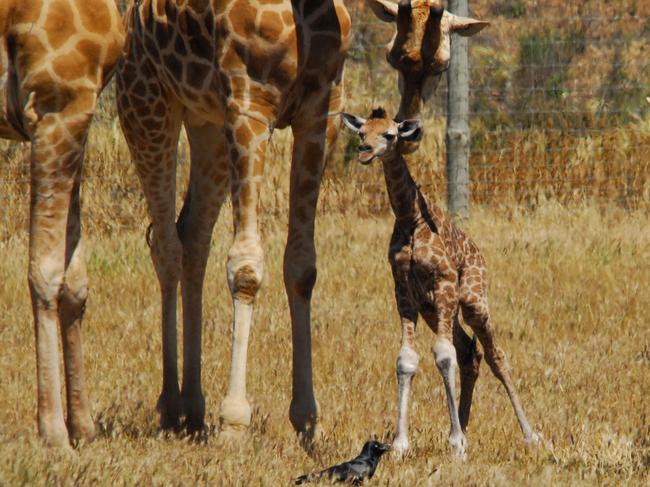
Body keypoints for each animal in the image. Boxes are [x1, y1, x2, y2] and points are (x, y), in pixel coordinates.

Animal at [0, 0, 123, 448]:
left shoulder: (79, 109)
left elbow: (76, 281)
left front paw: (83, 427)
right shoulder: (58, 105)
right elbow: (46, 271)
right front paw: (53, 431)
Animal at [116, 0, 350, 442]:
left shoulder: (320, 112)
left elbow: (302, 267)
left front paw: (307, 419)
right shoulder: (249, 106)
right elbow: (245, 268)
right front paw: (235, 420)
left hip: (207, 124)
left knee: (192, 237)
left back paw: (193, 406)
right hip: (146, 105)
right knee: (166, 246)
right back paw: (170, 405)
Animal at [340, 108, 536, 460]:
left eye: (389, 134)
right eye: (362, 133)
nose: (364, 152)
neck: (411, 220)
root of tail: (480, 253)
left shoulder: (444, 282)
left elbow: (443, 356)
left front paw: (455, 443)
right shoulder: (404, 290)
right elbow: (406, 359)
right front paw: (401, 444)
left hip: (472, 301)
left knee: (496, 355)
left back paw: (529, 435)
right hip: (434, 310)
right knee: (470, 353)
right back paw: (465, 428)